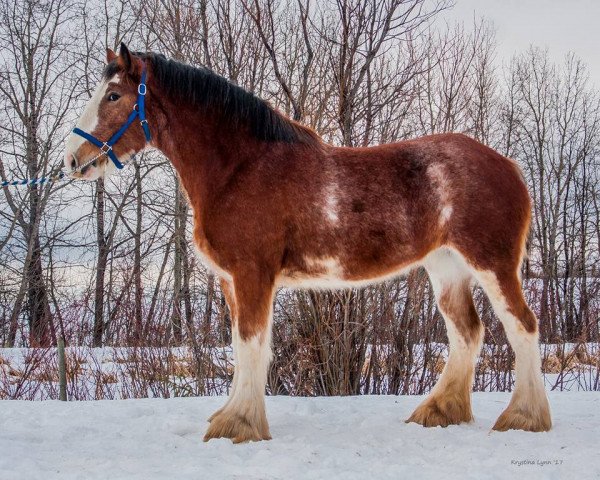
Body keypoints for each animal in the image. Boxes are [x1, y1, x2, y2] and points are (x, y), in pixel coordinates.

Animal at [63, 45, 552, 442]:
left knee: (522, 326)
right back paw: (439, 411)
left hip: (492, 264)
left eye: (113, 96)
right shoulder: (231, 281)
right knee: (467, 332)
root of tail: (507, 165)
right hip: (447, 267)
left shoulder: (253, 274)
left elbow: (251, 344)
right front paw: (231, 414)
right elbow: (241, 347)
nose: (72, 159)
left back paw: (524, 418)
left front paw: (239, 425)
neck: (239, 168)